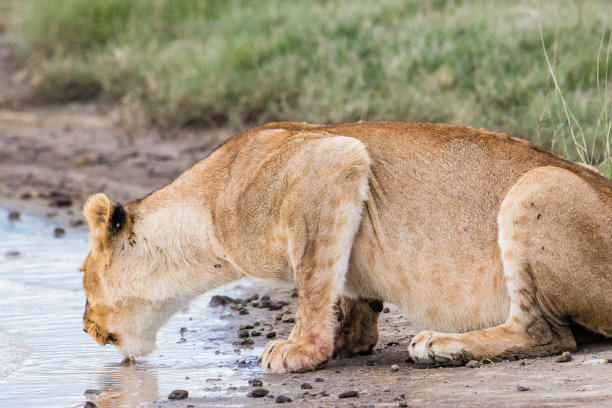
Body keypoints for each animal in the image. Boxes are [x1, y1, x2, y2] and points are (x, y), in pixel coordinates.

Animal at [81, 120, 612, 372]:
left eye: (84, 283)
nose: (85, 328)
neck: (205, 210)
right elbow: (342, 286)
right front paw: (349, 336)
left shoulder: (332, 160)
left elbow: (313, 279)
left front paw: (300, 350)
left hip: (537, 186)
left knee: (545, 334)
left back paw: (442, 345)